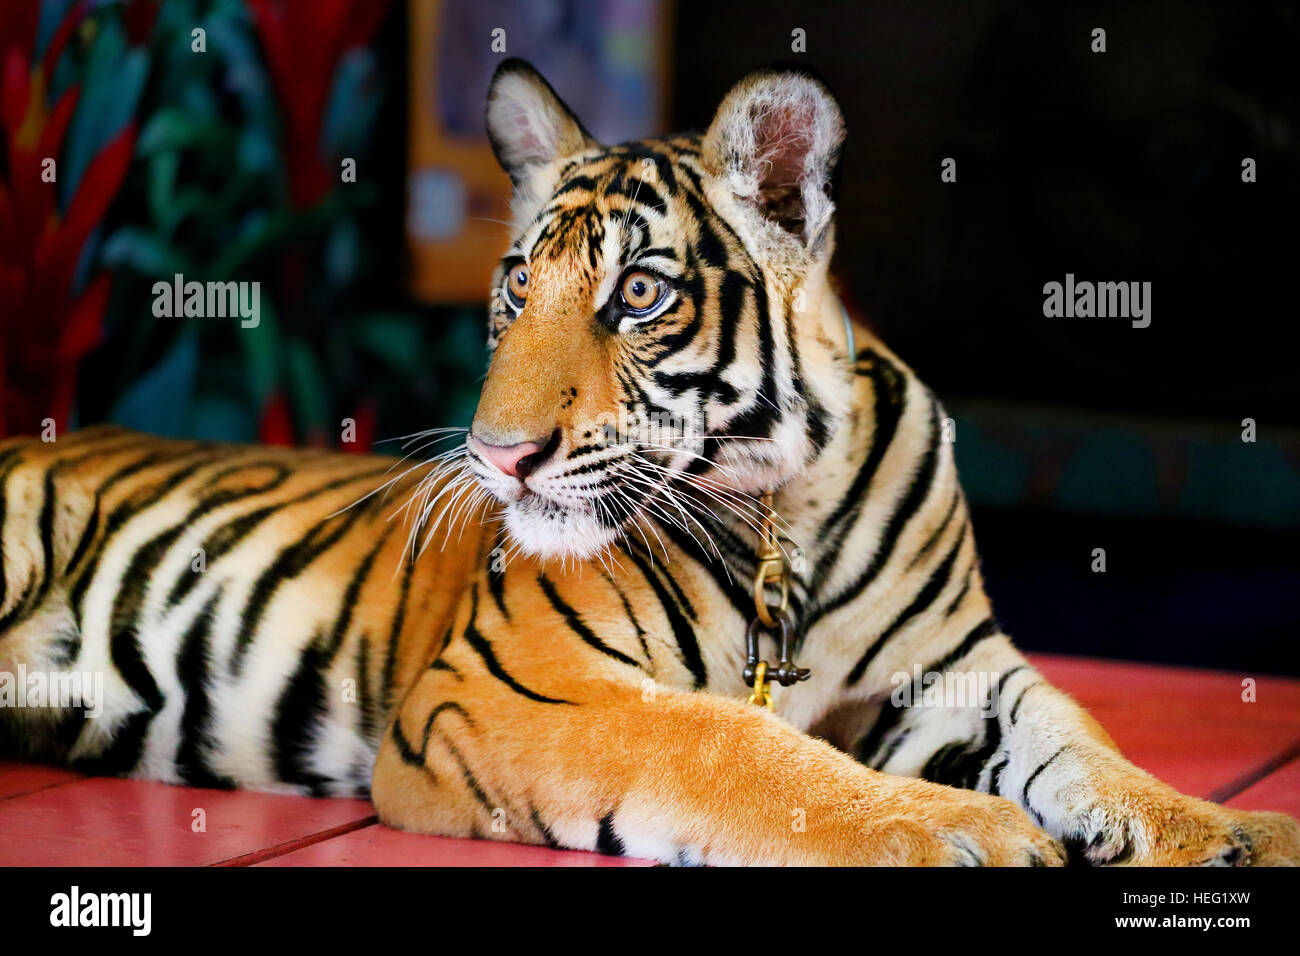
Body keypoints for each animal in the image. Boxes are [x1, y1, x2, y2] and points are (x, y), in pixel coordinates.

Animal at [2, 58, 1297, 866]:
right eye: (519, 284)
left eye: (636, 294)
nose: (499, 457)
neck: (790, 509)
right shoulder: (518, 678)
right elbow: (729, 738)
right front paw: (956, 826)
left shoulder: (958, 666)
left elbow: (1084, 742)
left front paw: (1227, 831)